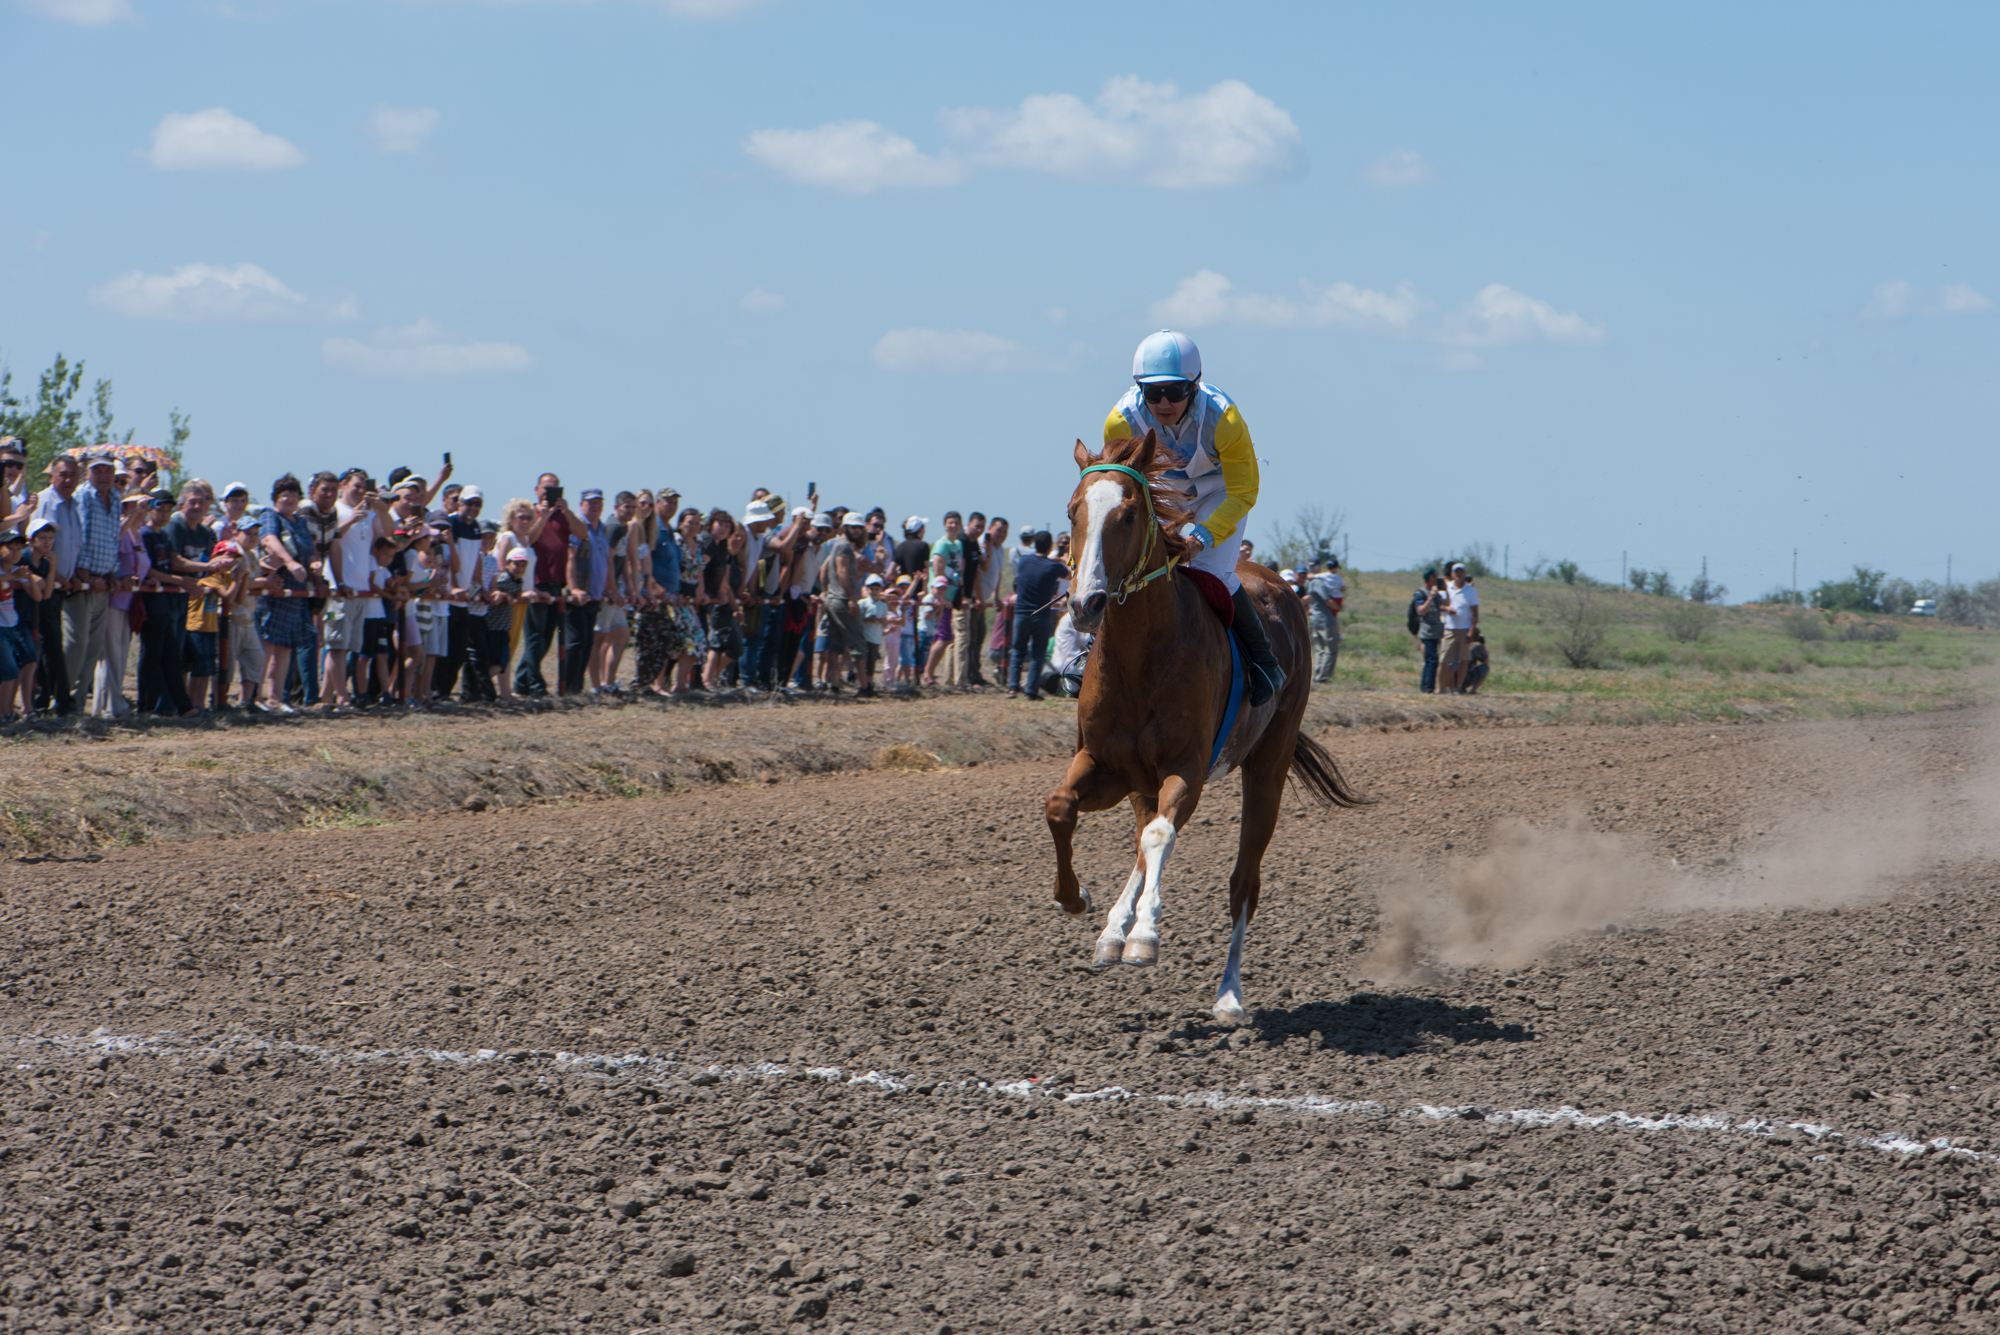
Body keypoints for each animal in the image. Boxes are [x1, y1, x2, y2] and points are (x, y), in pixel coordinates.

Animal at [1040, 427, 1368, 1023]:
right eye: (1073, 510)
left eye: (1127, 514)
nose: (1084, 604)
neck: (1139, 657)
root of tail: (1278, 583)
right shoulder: (1107, 766)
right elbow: (1061, 808)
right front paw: (1078, 900)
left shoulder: (1187, 769)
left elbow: (1161, 836)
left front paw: (1145, 936)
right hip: (1145, 783)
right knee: (1142, 840)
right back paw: (1112, 930)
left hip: (1267, 766)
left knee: (1242, 881)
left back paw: (1229, 994)